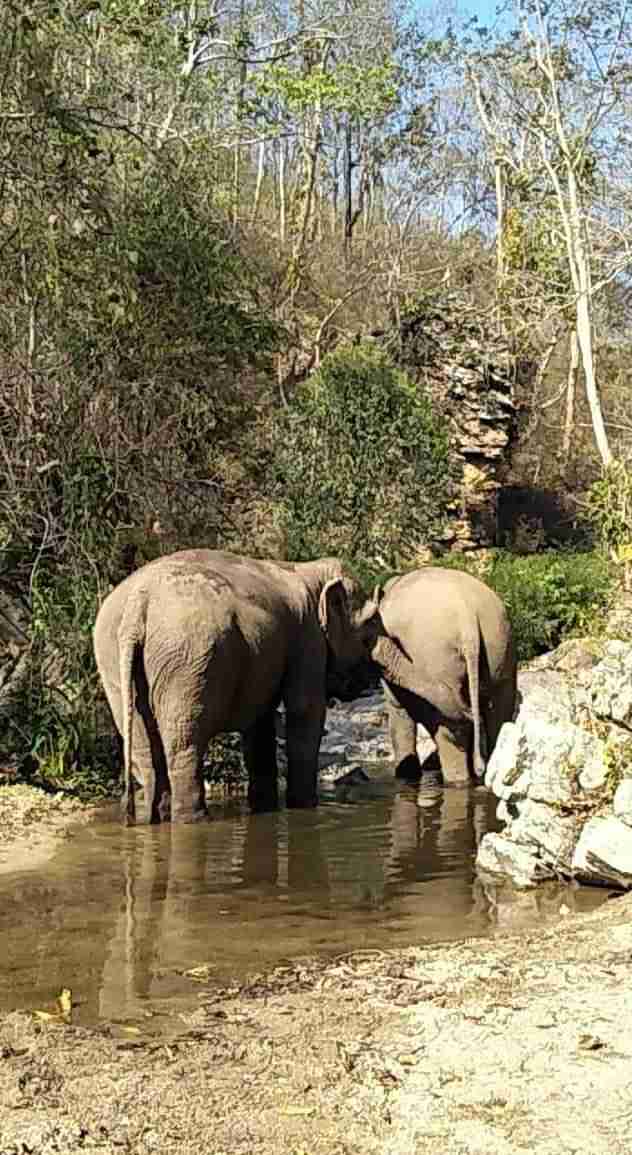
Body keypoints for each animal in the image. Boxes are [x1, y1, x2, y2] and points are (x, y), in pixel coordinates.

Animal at [93, 550, 375, 825]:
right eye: (368, 634)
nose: (369, 684)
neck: (308, 570)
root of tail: (137, 606)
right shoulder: (308, 637)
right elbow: (304, 710)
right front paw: (305, 807)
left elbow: (259, 724)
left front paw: (265, 807)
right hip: (188, 662)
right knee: (185, 743)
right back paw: (194, 820)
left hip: (116, 663)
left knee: (145, 750)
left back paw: (154, 818)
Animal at [359, 567, 517, 786]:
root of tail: (466, 614)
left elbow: (398, 711)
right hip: (499, 647)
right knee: (499, 714)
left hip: (436, 658)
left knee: (450, 727)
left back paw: (457, 781)